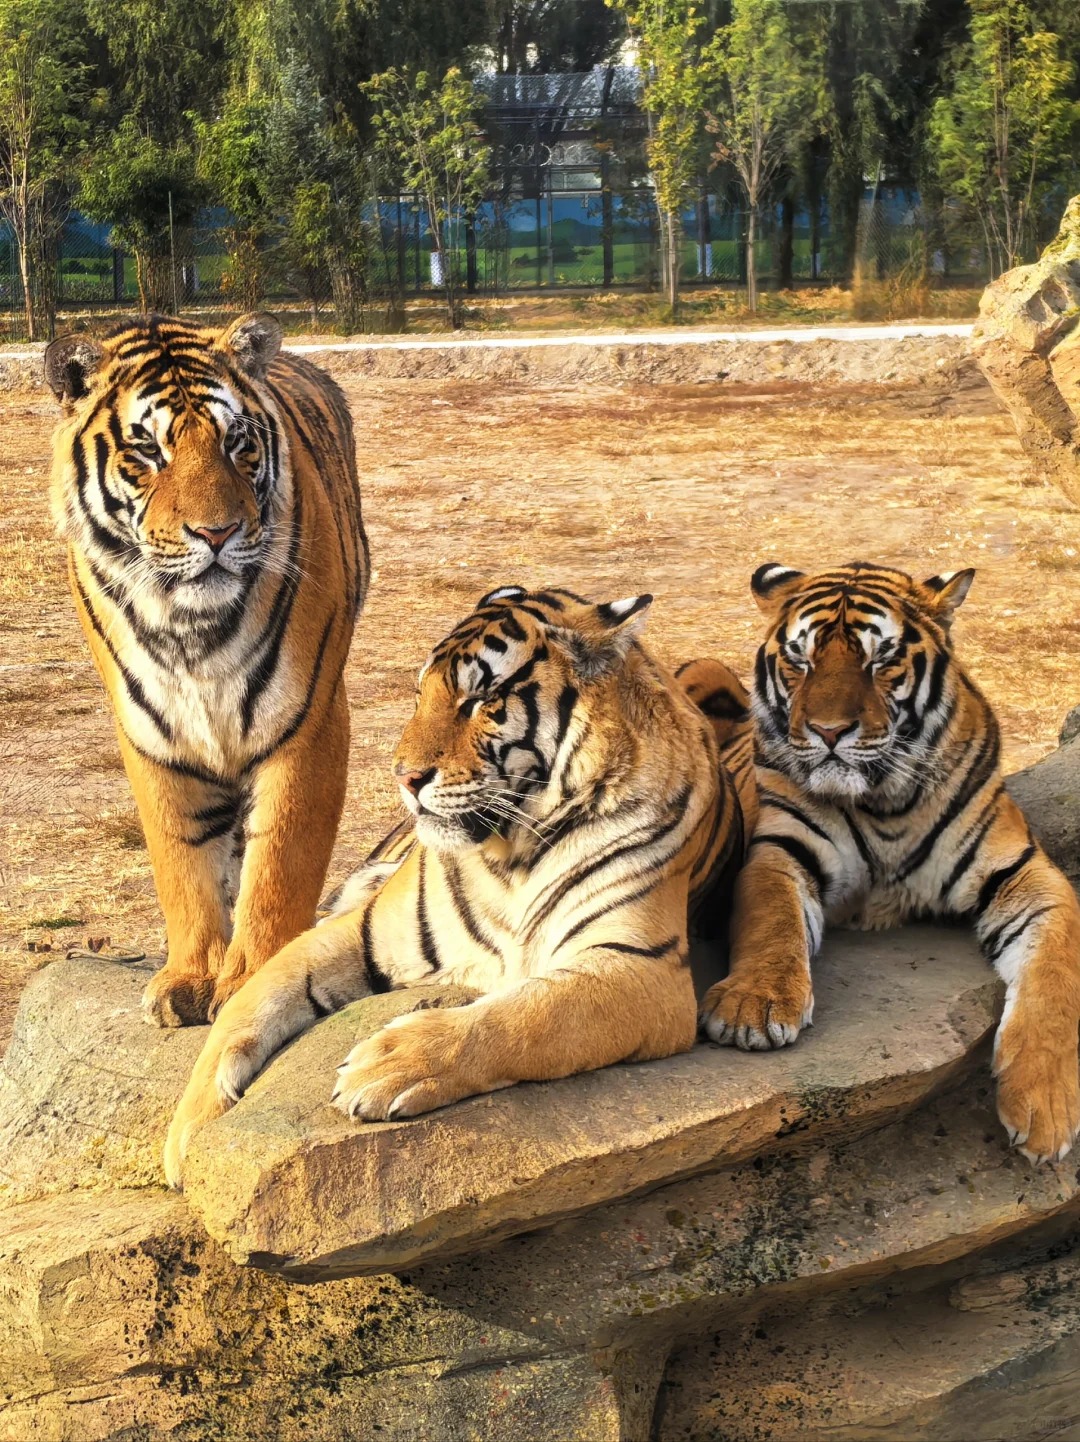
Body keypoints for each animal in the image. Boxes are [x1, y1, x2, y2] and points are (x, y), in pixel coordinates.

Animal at [44, 312, 368, 1028]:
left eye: (236, 443)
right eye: (146, 451)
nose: (216, 534)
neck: (191, 629)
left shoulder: (307, 721)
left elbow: (280, 864)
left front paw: (249, 979)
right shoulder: (153, 734)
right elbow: (181, 862)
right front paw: (191, 977)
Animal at [163, 584, 756, 1186]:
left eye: (480, 700)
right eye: (418, 695)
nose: (403, 777)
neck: (514, 856)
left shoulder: (641, 966)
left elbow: (530, 1013)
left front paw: (389, 1063)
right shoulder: (362, 931)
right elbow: (247, 1005)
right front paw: (190, 1135)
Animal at [700, 561, 1080, 1165]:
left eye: (879, 661)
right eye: (800, 661)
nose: (829, 732)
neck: (885, 800)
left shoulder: (1024, 872)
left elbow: (1056, 977)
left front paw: (1046, 1107)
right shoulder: (781, 851)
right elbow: (771, 924)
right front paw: (750, 1006)